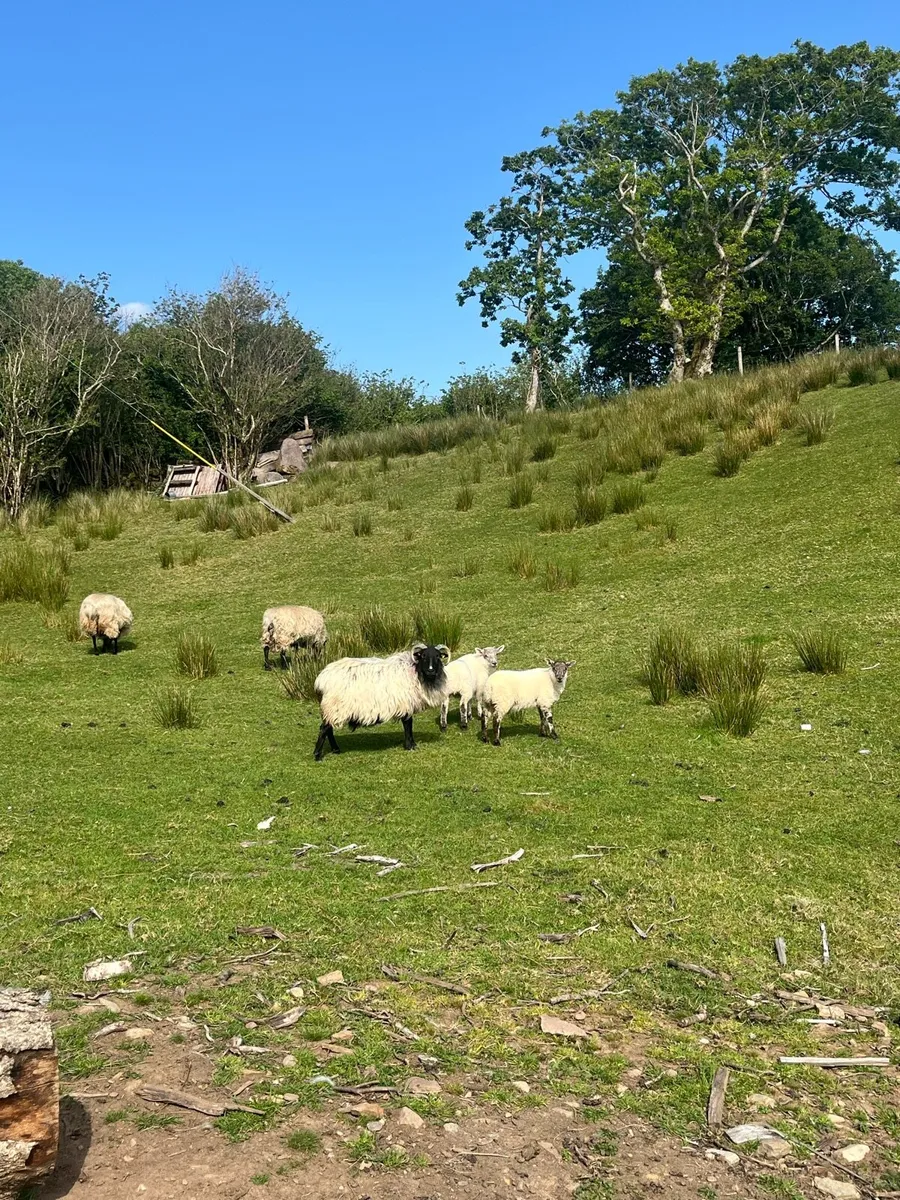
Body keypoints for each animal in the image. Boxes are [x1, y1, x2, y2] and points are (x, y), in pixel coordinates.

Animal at [313, 642, 451, 759]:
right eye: (423, 656)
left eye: (438, 656)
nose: (430, 671)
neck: (416, 672)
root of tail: (321, 679)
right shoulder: (406, 704)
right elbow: (408, 724)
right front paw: (410, 746)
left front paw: (411, 744)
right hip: (334, 707)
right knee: (324, 728)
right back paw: (318, 755)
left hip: (332, 709)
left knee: (328, 729)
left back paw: (336, 750)